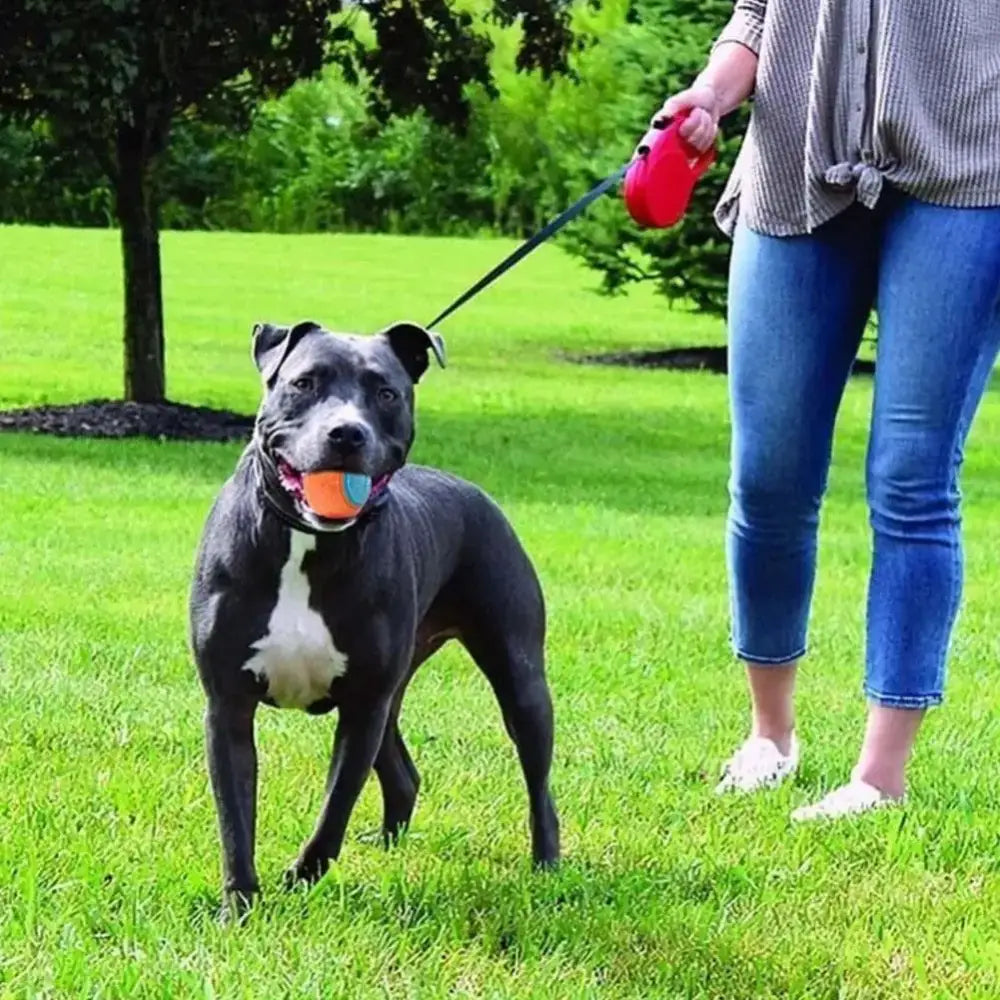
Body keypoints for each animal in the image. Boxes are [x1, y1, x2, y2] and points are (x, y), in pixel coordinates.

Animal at [189, 322, 564, 916]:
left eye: (386, 393)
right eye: (304, 382)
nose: (346, 433)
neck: (306, 542)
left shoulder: (362, 706)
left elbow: (335, 807)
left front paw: (301, 876)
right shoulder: (228, 706)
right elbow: (235, 817)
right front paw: (240, 906)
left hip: (519, 679)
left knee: (538, 780)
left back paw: (547, 864)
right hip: (396, 692)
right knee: (404, 774)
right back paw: (390, 844)